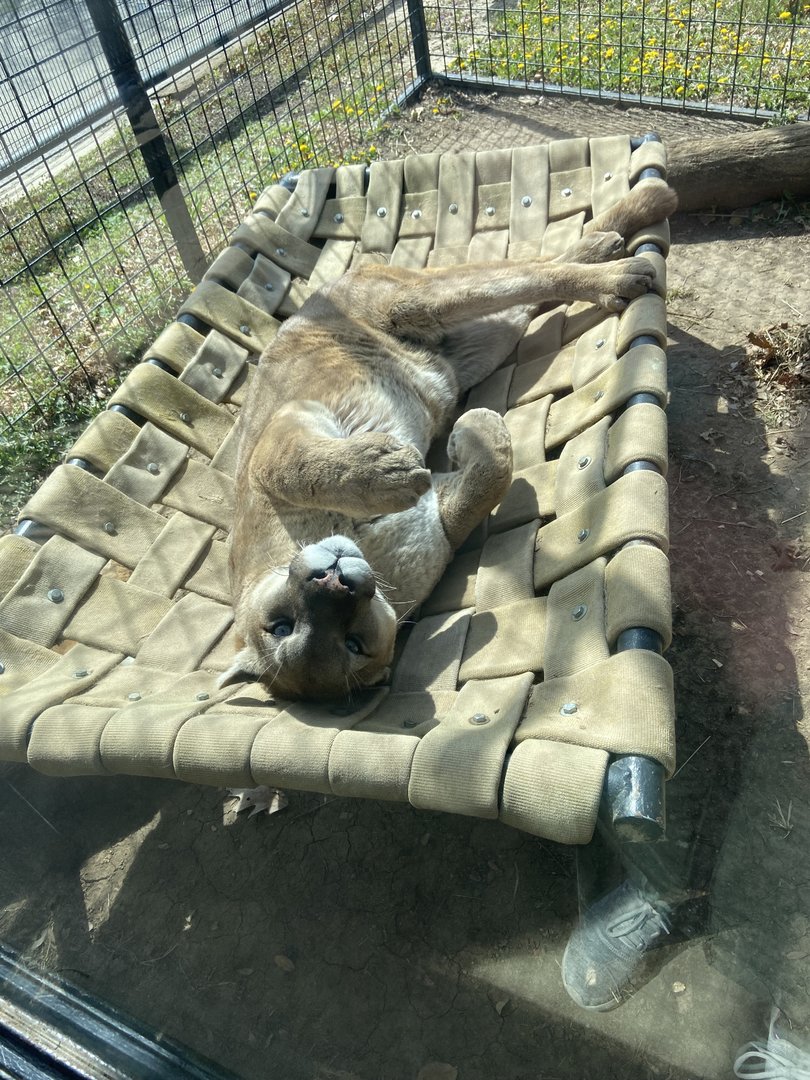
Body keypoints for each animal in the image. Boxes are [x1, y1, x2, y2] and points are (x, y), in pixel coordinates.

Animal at [219, 180, 678, 701]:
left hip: (417, 300)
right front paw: (473, 430)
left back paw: (630, 248)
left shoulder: (281, 428)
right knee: (530, 281)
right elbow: (488, 479)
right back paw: (611, 247)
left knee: (530, 272)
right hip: (480, 339)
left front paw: (388, 470)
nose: (331, 581)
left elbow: (291, 467)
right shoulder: (441, 519)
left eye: (280, 625)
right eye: (350, 645)